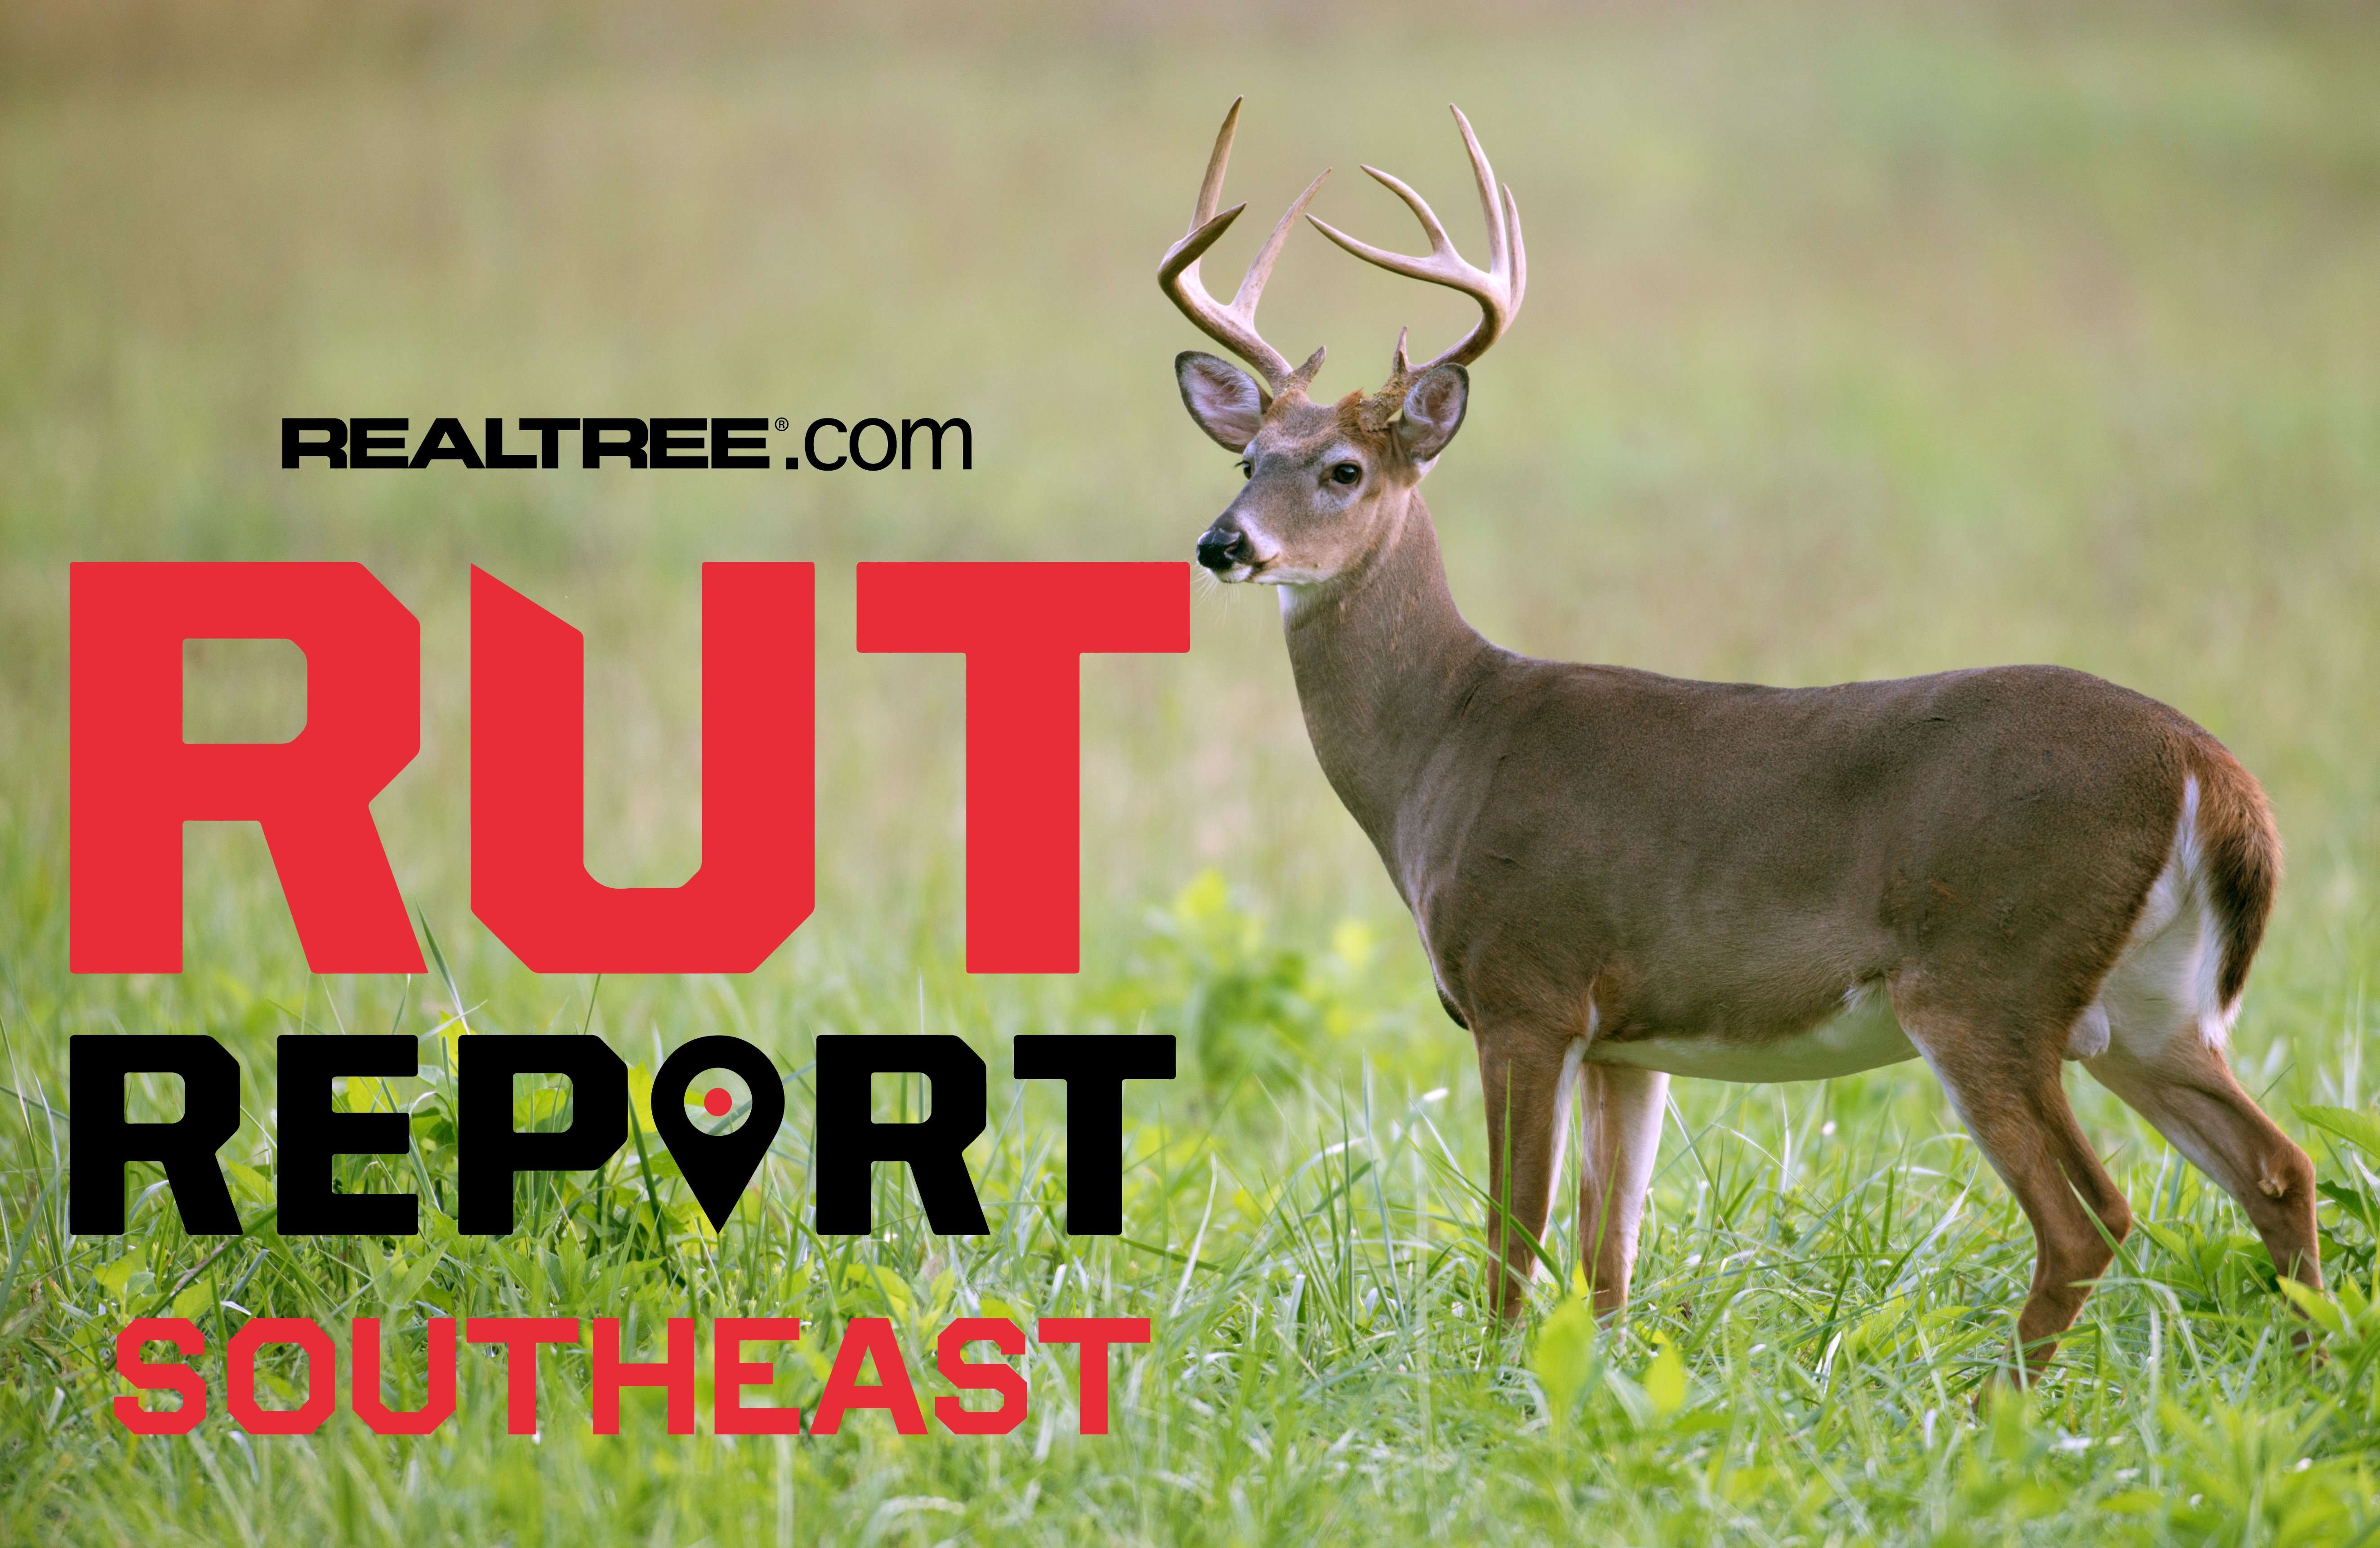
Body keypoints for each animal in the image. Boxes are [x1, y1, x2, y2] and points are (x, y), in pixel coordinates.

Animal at [1158, 98, 2320, 1381]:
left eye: (1343, 468)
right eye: (1244, 459)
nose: (1222, 544)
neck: (1443, 752)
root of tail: (2209, 771)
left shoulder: (1525, 985)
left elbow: (1513, 1245)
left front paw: (1486, 1388)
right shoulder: (1630, 1037)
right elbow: (1603, 1267)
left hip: (1992, 975)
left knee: (2090, 1218)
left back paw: (1991, 1406)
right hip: (2155, 1006)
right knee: (2279, 1167)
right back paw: (2311, 1374)